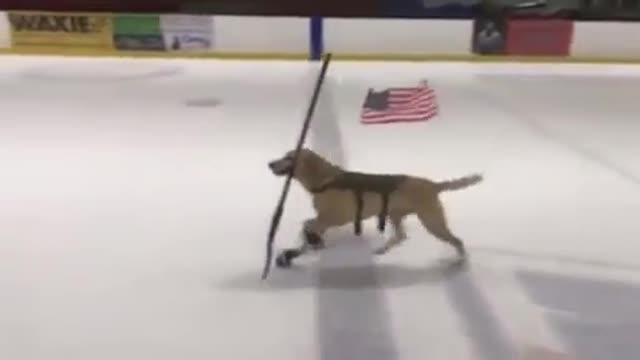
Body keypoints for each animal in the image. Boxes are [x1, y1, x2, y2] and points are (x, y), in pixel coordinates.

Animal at [268, 147, 482, 268]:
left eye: (289, 157)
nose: (270, 163)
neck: (327, 179)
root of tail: (433, 185)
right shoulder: (324, 220)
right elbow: (307, 229)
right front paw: (298, 250)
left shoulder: (331, 219)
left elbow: (308, 226)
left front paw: (305, 246)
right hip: (396, 215)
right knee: (401, 235)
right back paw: (382, 249)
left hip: (432, 221)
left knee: (457, 241)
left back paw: (459, 261)